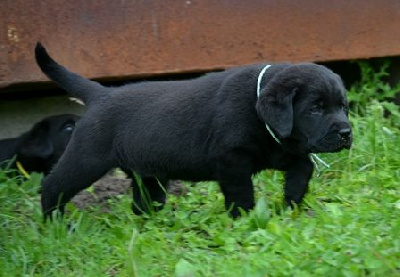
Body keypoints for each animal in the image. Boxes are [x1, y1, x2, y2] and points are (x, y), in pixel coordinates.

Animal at [35, 42, 354, 218]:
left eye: (343, 106)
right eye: (315, 109)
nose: (346, 133)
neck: (257, 109)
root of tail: (101, 94)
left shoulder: (282, 148)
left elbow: (303, 168)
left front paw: (292, 203)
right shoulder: (231, 159)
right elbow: (241, 193)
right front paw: (245, 218)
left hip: (148, 175)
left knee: (144, 202)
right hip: (87, 158)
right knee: (53, 186)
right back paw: (56, 224)